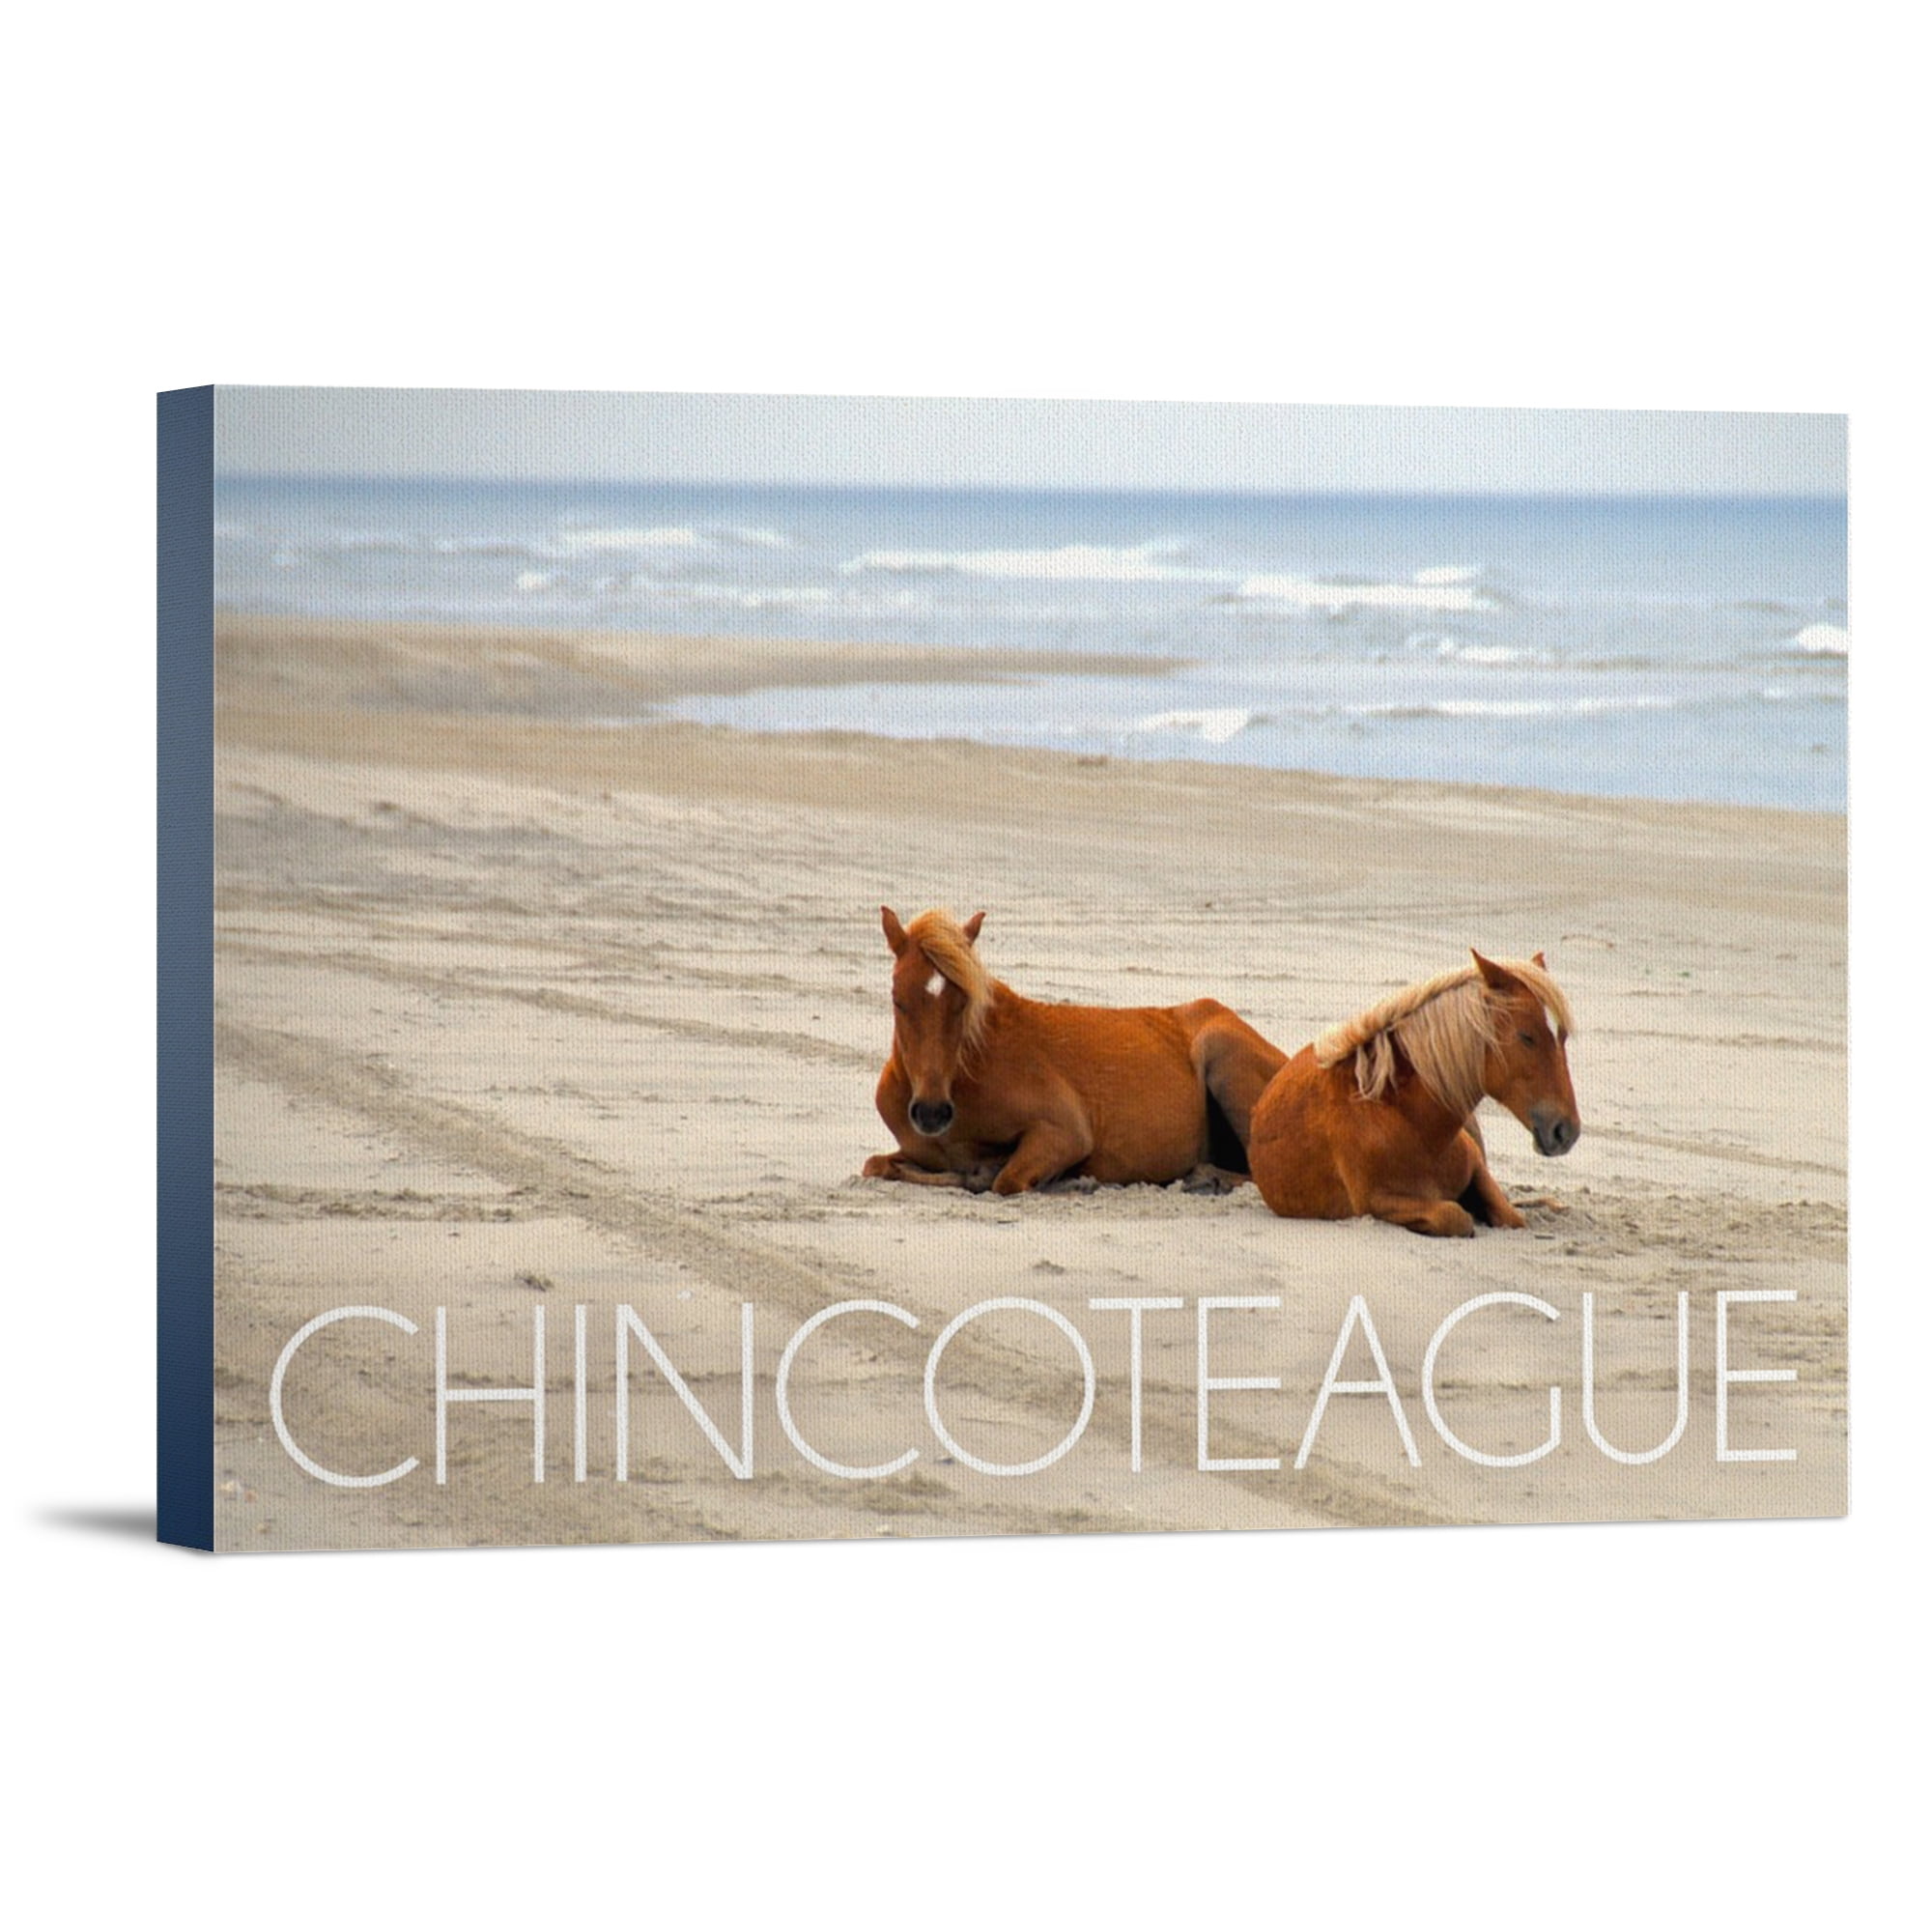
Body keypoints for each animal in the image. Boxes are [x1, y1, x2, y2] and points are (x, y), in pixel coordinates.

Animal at [862, 906, 1288, 1195]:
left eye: (962, 1003)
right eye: (898, 1000)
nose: (932, 1112)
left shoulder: (1064, 1133)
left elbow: (1007, 1180)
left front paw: (1071, 1182)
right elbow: (877, 1165)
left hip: (1222, 1056)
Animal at [1247, 951, 1580, 1237]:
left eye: (1562, 1036)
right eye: (1526, 1036)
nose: (1565, 1131)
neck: (1408, 1119)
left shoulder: (1477, 1170)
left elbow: (1511, 1217)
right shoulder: (1378, 1202)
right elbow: (1454, 1216)